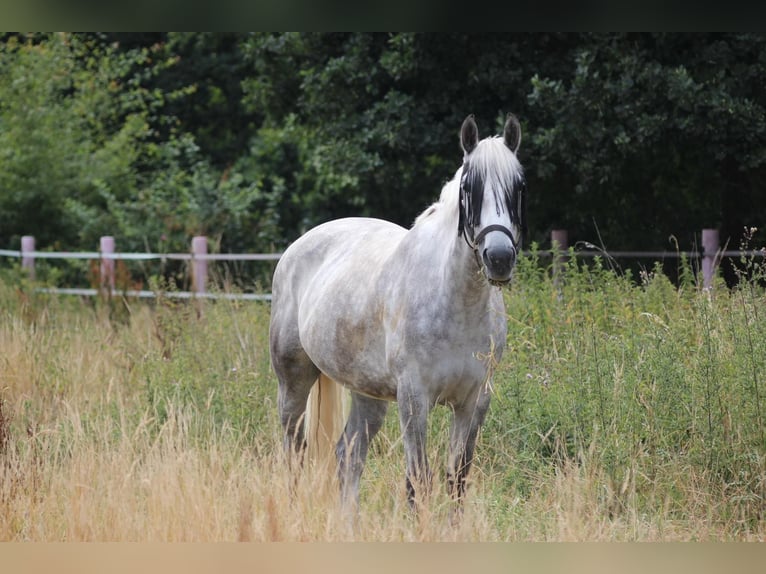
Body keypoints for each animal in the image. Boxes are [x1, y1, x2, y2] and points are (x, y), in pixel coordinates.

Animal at [269, 113, 526, 512]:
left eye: (519, 186)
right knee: (294, 452)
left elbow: (456, 480)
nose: (498, 258)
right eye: (469, 187)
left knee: (348, 456)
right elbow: (418, 482)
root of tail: (298, 246)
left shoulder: (474, 402)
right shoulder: (414, 399)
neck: (457, 305)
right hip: (294, 379)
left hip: (367, 395)